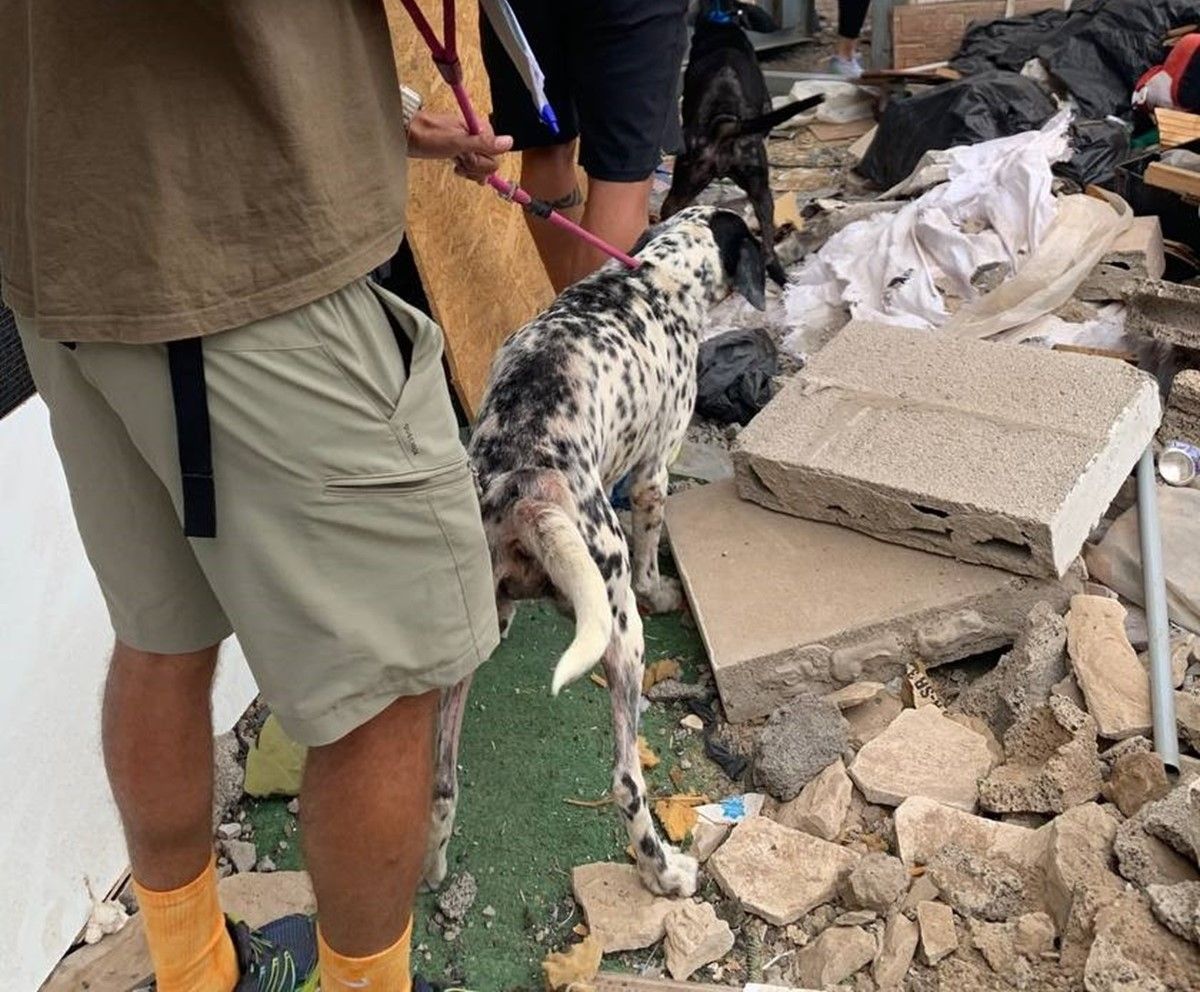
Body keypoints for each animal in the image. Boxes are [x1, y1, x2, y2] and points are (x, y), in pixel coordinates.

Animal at [422, 207, 768, 902]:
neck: (656, 275)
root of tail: (526, 489)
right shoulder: (655, 470)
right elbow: (651, 544)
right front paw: (664, 589)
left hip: (471, 646)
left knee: (442, 782)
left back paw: (436, 870)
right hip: (620, 628)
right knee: (626, 781)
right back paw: (663, 872)